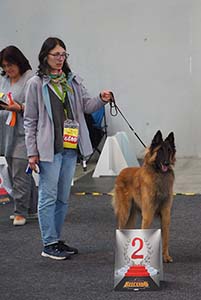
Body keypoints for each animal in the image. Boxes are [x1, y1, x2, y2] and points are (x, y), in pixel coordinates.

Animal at [113, 129, 176, 262]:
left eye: (169, 150)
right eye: (160, 151)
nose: (167, 163)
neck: (159, 176)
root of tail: (122, 171)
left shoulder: (166, 215)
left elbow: (165, 239)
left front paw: (166, 257)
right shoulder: (147, 215)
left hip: (131, 215)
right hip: (125, 212)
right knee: (120, 228)